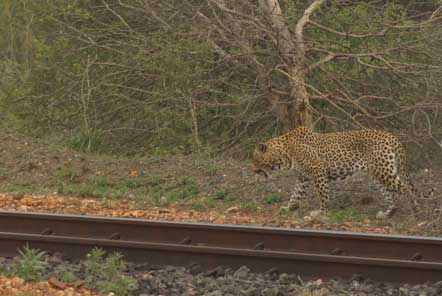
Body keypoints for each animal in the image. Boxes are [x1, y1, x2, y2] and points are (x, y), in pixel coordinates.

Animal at [252, 126, 436, 219]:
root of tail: (391, 136)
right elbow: (295, 194)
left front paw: (321, 212)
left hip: (384, 171)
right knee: (392, 195)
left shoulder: (317, 170)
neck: (283, 154)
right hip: (378, 174)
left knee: (406, 188)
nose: (253, 170)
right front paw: (289, 207)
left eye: (255, 159)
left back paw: (416, 212)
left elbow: (323, 194)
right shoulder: (303, 177)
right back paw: (387, 214)